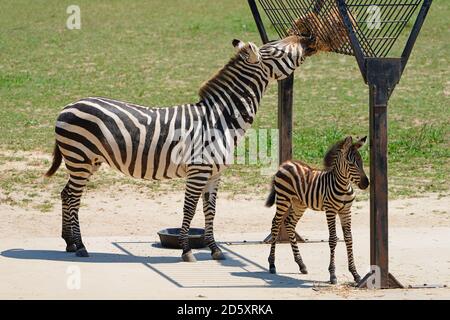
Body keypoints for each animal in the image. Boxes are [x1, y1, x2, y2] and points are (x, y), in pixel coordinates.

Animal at [266, 136, 368, 284]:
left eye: (361, 162)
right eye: (351, 163)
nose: (366, 183)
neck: (343, 187)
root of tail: (286, 164)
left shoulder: (346, 211)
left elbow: (349, 238)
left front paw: (355, 274)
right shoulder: (330, 211)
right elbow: (333, 239)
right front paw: (332, 274)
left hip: (299, 204)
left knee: (289, 223)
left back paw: (301, 264)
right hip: (283, 199)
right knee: (275, 224)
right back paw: (272, 264)